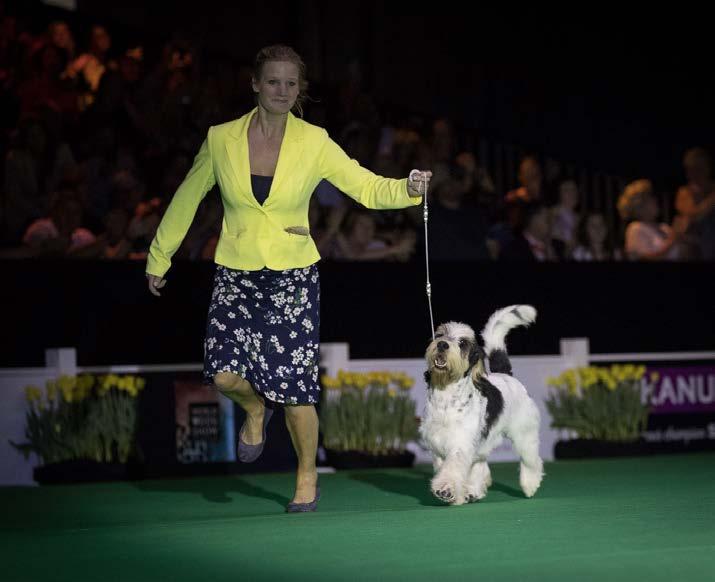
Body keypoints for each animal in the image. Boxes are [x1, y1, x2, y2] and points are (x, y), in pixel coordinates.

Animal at [420, 306, 544, 506]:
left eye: (463, 343)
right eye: (439, 335)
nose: (442, 345)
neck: (446, 397)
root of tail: (506, 375)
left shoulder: (460, 445)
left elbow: (452, 469)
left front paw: (445, 489)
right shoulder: (438, 447)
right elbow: (449, 469)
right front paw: (457, 495)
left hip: (524, 435)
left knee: (532, 461)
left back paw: (529, 485)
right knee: (481, 466)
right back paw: (473, 491)